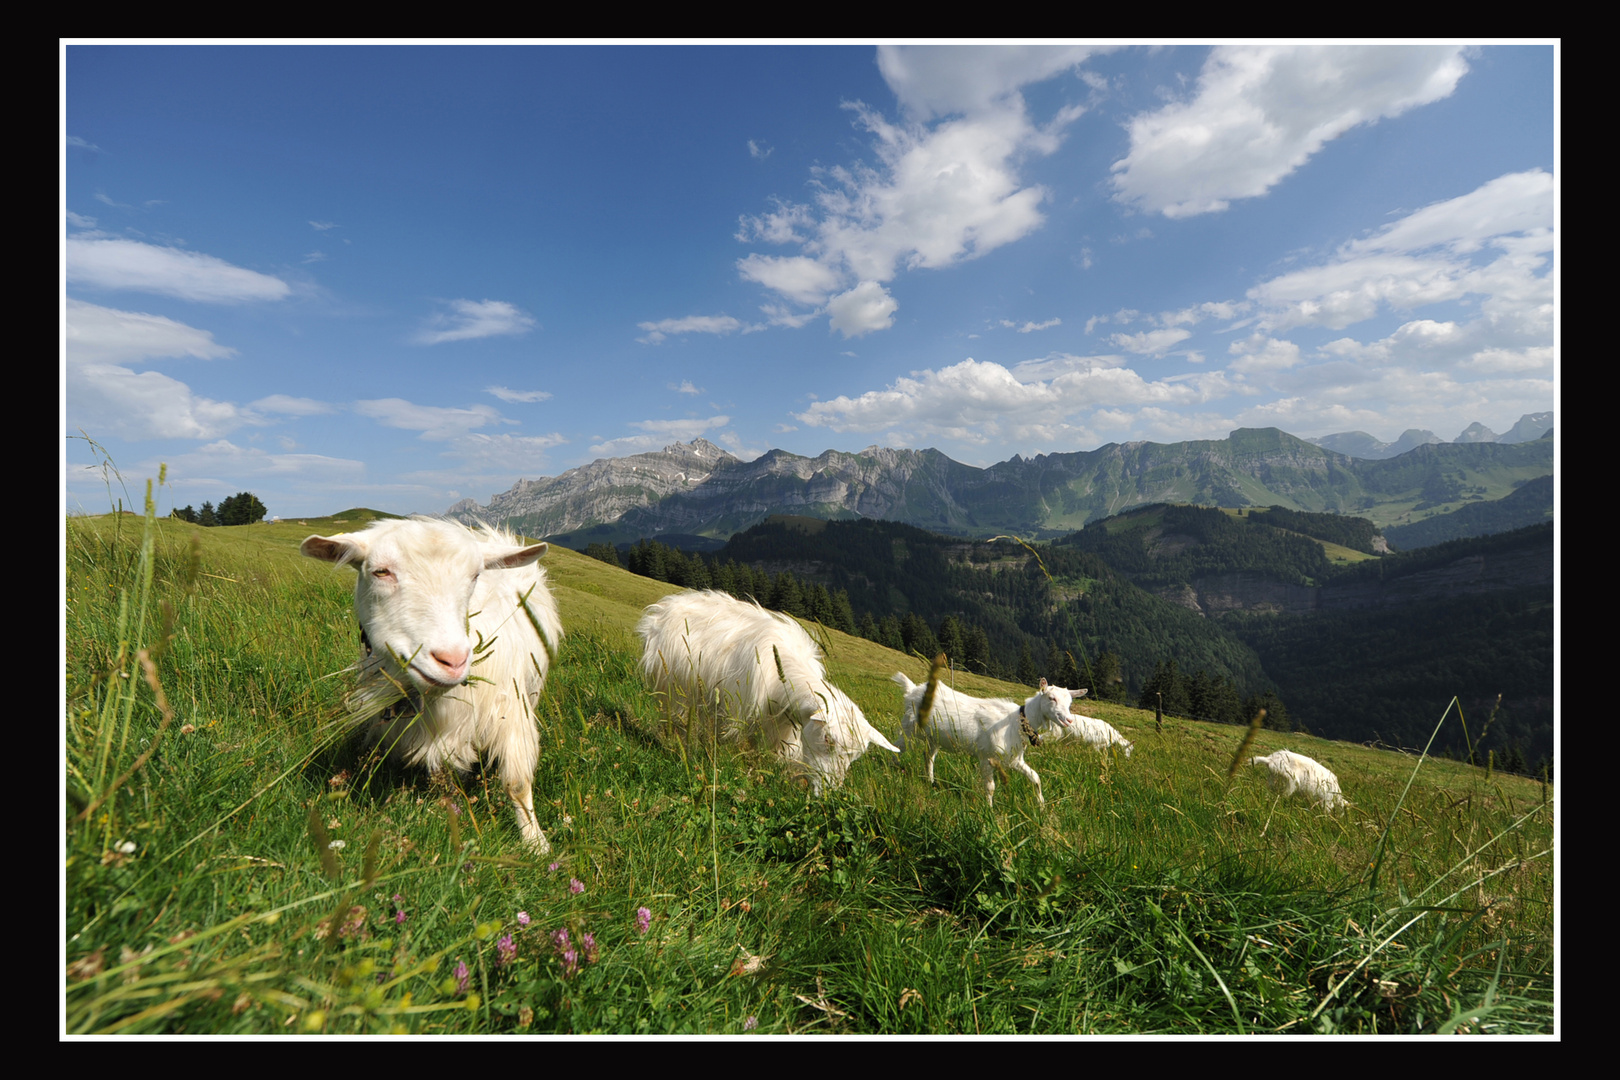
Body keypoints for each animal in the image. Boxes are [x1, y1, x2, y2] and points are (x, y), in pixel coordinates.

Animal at [304, 518, 563, 854]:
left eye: (475, 576)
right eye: (381, 572)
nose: (452, 660)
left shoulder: (512, 711)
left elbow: (517, 784)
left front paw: (536, 844)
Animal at [638, 592, 907, 793]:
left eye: (855, 757)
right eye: (828, 739)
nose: (829, 790)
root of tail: (665, 606)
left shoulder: (784, 726)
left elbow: (783, 754)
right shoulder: (736, 711)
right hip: (674, 688)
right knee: (679, 718)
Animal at [894, 670, 1082, 806]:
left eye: (1070, 702)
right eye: (1051, 698)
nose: (1068, 720)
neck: (1015, 721)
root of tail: (912, 690)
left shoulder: (1014, 760)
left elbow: (1035, 778)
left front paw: (1041, 806)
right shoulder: (986, 757)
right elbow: (990, 787)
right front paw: (989, 811)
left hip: (934, 738)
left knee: (929, 757)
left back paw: (931, 782)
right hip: (909, 727)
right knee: (898, 748)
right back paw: (892, 773)